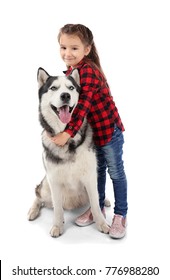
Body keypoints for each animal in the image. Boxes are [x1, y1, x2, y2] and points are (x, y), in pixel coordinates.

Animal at [28, 68, 109, 236]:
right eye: (53, 88)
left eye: (71, 88)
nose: (65, 95)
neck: (66, 140)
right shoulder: (53, 179)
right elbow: (58, 208)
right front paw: (57, 225)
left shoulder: (90, 177)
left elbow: (95, 204)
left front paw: (102, 223)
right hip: (46, 186)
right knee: (39, 194)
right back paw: (32, 211)